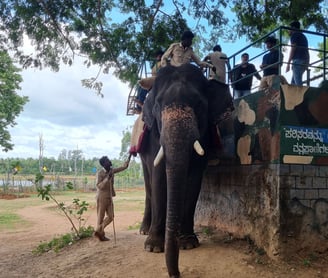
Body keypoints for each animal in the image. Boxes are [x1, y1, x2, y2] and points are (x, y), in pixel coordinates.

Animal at [137, 63, 232, 278]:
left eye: (199, 104)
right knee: (148, 185)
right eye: (158, 105)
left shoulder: (204, 135)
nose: (176, 274)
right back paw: (144, 231)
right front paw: (153, 247)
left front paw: (188, 243)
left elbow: (194, 180)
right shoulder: (155, 135)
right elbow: (158, 178)